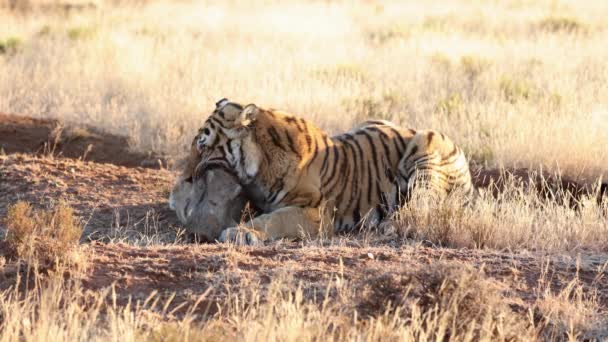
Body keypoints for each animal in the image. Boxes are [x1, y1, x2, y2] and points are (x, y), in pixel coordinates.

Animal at [192, 97, 472, 244]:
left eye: (203, 146)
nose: (190, 174)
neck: (260, 166)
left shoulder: (314, 212)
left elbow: (272, 219)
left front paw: (240, 232)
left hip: (425, 145)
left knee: (421, 211)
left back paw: (387, 226)